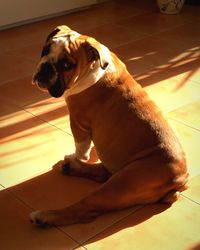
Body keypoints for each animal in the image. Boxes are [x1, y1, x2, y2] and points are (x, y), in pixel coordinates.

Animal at [29, 24, 188, 227]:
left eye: (67, 65)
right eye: (45, 50)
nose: (46, 67)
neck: (94, 69)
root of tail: (181, 182)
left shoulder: (78, 122)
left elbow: (81, 147)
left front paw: (78, 155)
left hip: (122, 183)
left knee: (84, 209)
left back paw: (44, 216)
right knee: (104, 174)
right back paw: (72, 168)